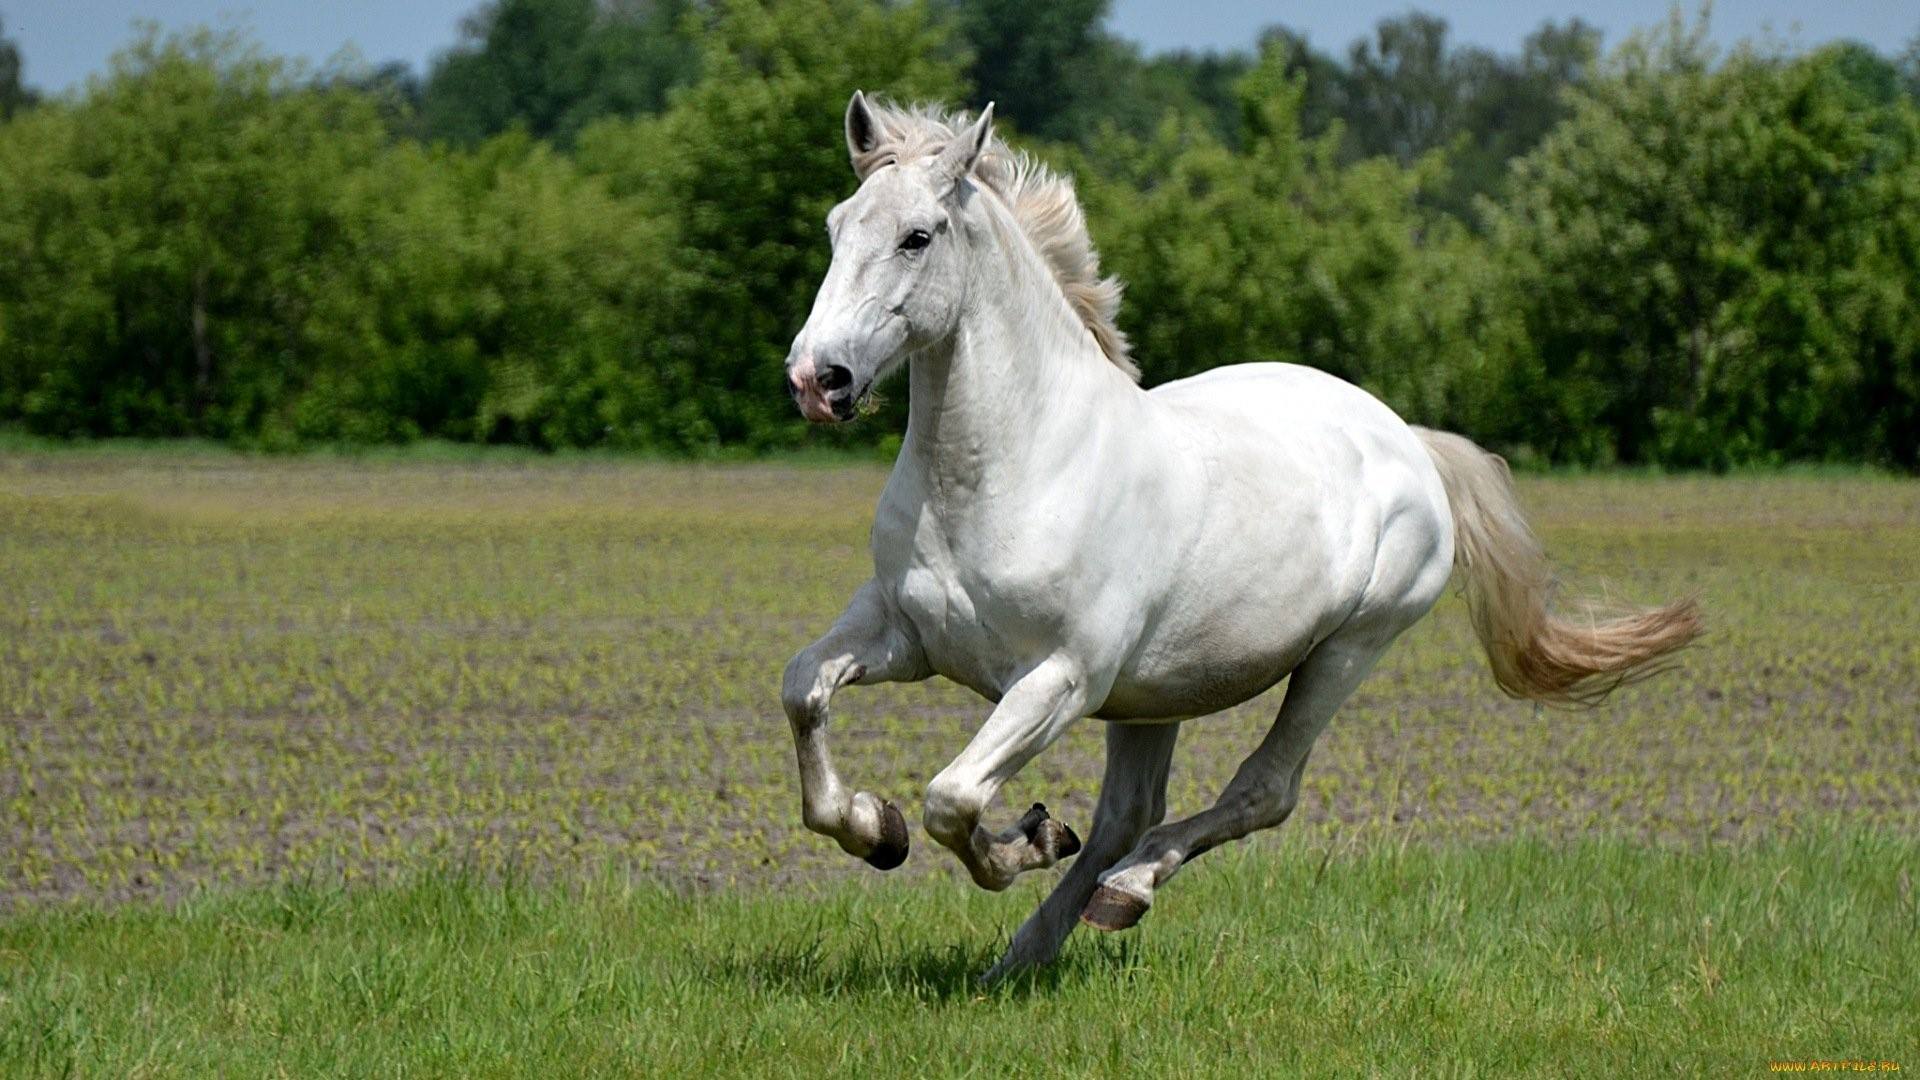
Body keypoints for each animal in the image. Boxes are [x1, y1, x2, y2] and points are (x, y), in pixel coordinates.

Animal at [775, 92, 1697, 980]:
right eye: (836, 225)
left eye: (917, 236)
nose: (818, 379)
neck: (1009, 470)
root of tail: (1409, 439)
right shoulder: (906, 635)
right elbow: (804, 692)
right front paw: (876, 829)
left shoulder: (1060, 678)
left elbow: (954, 799)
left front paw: (1022, 839)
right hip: (1153, 694)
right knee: (1126, 815)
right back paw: (1029, 950)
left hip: (1345, 652)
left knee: (1260, 792)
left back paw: (1126, 891)